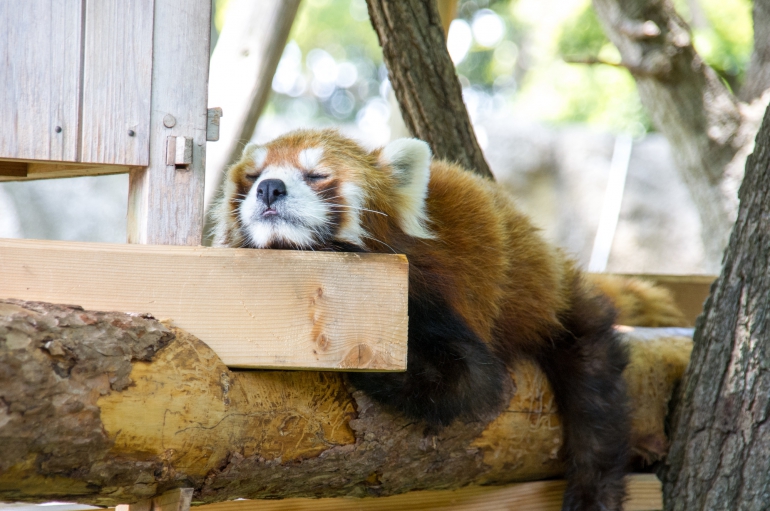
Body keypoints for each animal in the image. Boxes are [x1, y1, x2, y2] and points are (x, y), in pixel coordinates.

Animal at [213, 129, 640, 511]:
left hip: (552, 306)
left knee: (594, 389)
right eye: (253, 176)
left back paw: (594, 491)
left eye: (316, 175)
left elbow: (467, 381)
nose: (269, 188)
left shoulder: (434, 295)